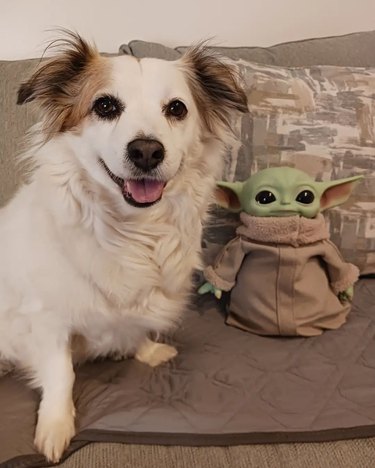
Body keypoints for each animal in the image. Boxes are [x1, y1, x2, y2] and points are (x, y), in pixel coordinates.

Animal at [0, 32, 248, 460]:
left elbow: (135, 329)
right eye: (105, 106)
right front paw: (55, 426)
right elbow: (61, 373)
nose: (147, 151)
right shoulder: (47, 318)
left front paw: (146, 351)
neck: (130, 230)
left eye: (177, 108)